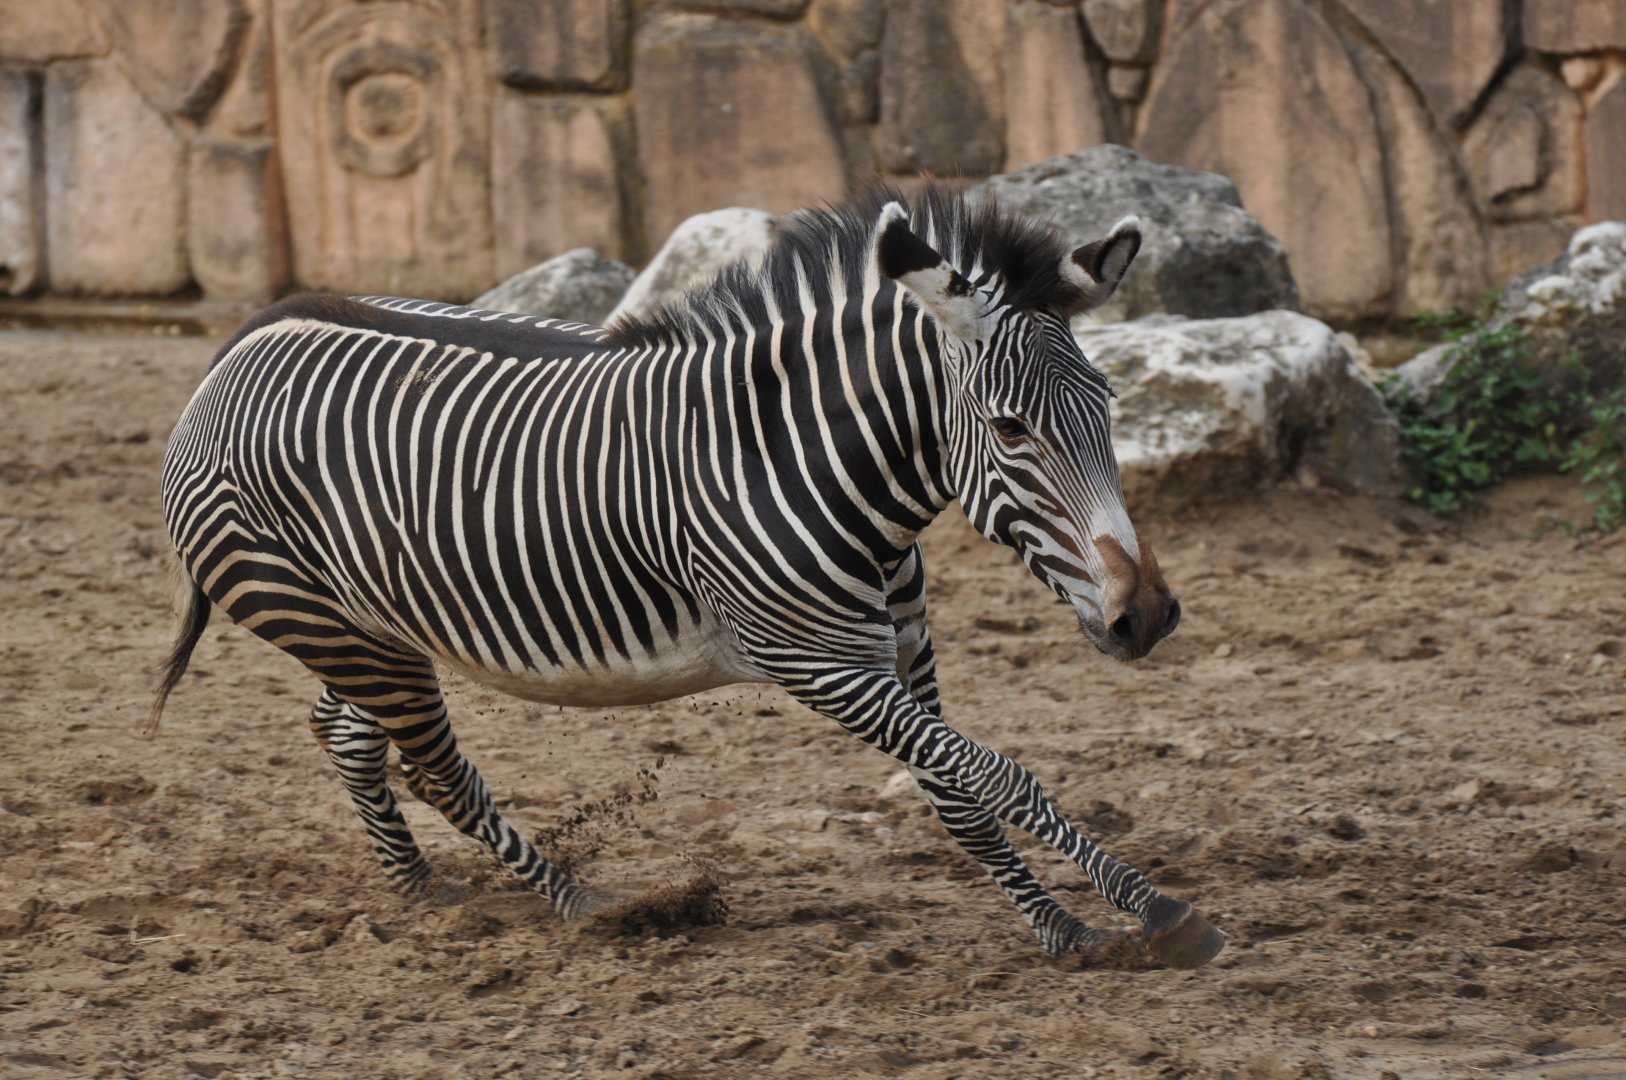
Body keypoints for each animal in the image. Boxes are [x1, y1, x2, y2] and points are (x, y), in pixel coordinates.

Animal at [153, 185, 1223, 969]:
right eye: (1010, 429)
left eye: (1109, 404)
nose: (1149, 617)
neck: (808, 462)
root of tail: (243, 343)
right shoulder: (817, 665)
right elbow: (998, 770)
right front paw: (1154, 910)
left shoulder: (904, 653)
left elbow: (958, 786)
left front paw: (1060, 927)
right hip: (322, 619)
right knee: (434, 766)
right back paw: (587, 903)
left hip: (371, 628)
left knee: (348, 735)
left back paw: (419, 891)